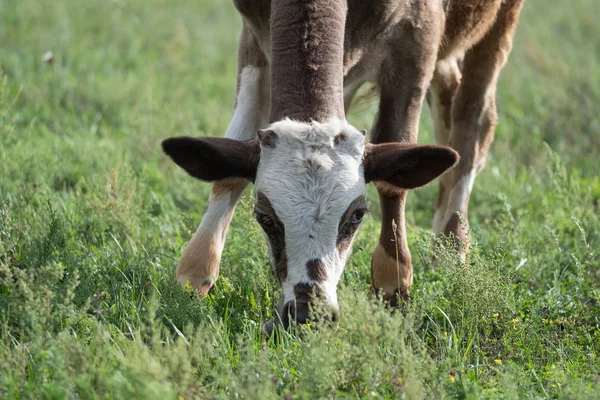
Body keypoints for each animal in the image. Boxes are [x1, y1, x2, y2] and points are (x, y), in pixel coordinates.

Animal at [162, 0, 524, 330]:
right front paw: (195, 273)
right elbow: (233, 156)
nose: (309, 315)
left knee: (473, 118)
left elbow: (394, 160)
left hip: (499, 24)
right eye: (264, 218)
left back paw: (454, 246)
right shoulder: (254, 33)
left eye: (357, 216)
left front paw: (393, 280)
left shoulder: (418, 33)